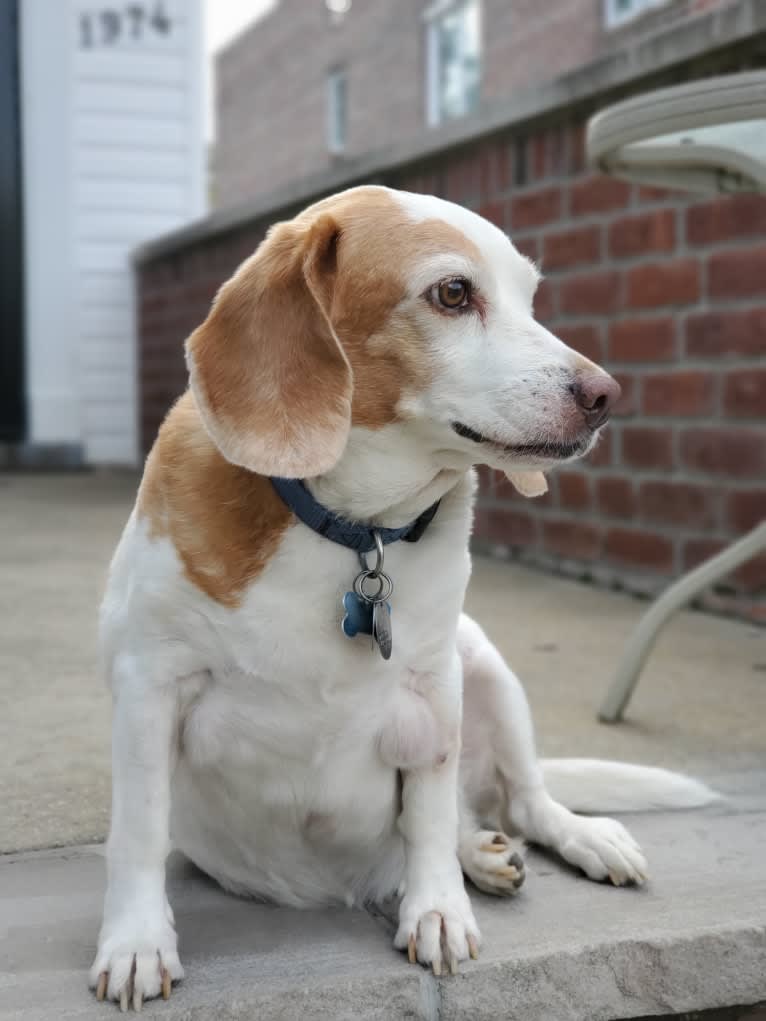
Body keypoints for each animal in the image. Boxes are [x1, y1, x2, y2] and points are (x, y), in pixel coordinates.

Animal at [89, 187, 714, 1008]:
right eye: (452, 293)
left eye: (531, 297)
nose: (605, 395)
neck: (354, 531)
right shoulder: (147, 689)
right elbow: (138, 832)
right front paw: (135, 941)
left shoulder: (435, 686)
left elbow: (427, 813)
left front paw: (438, 909)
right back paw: (483, 852)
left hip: (486, 664)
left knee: (521, 800)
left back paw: (565, 838)